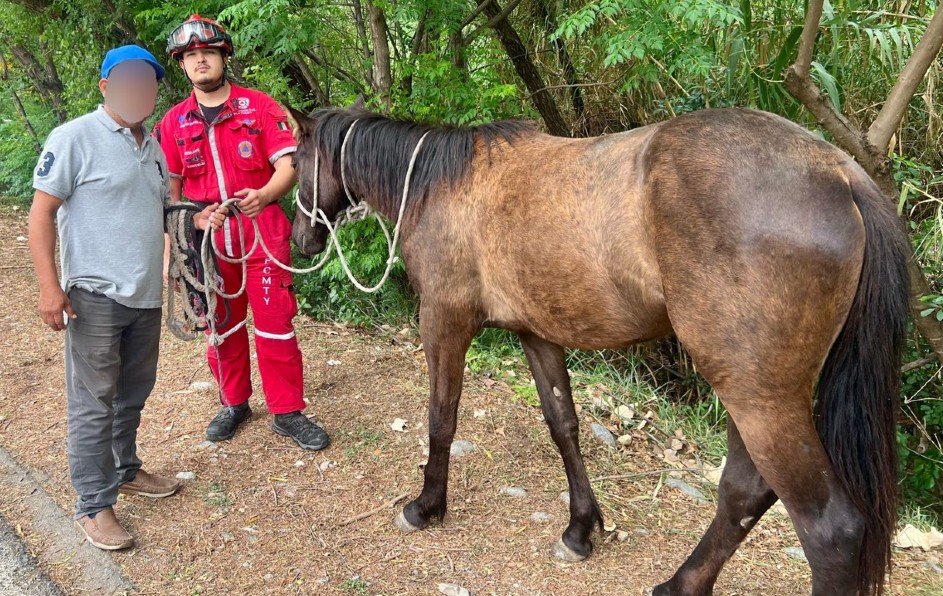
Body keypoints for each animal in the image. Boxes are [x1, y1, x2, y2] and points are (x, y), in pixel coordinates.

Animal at [286, 100, 910, 595]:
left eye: (297, 160)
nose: (301, 239)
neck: (442, 183)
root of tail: (840, 173)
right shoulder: (536, 334)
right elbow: (563, 425)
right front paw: (580, 529)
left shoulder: (443, 319)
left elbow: (442, 418)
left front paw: (426, 506)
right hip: (751, 390)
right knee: (743, 492)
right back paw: (680, 584)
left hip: (758, 396)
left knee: (826, 527)